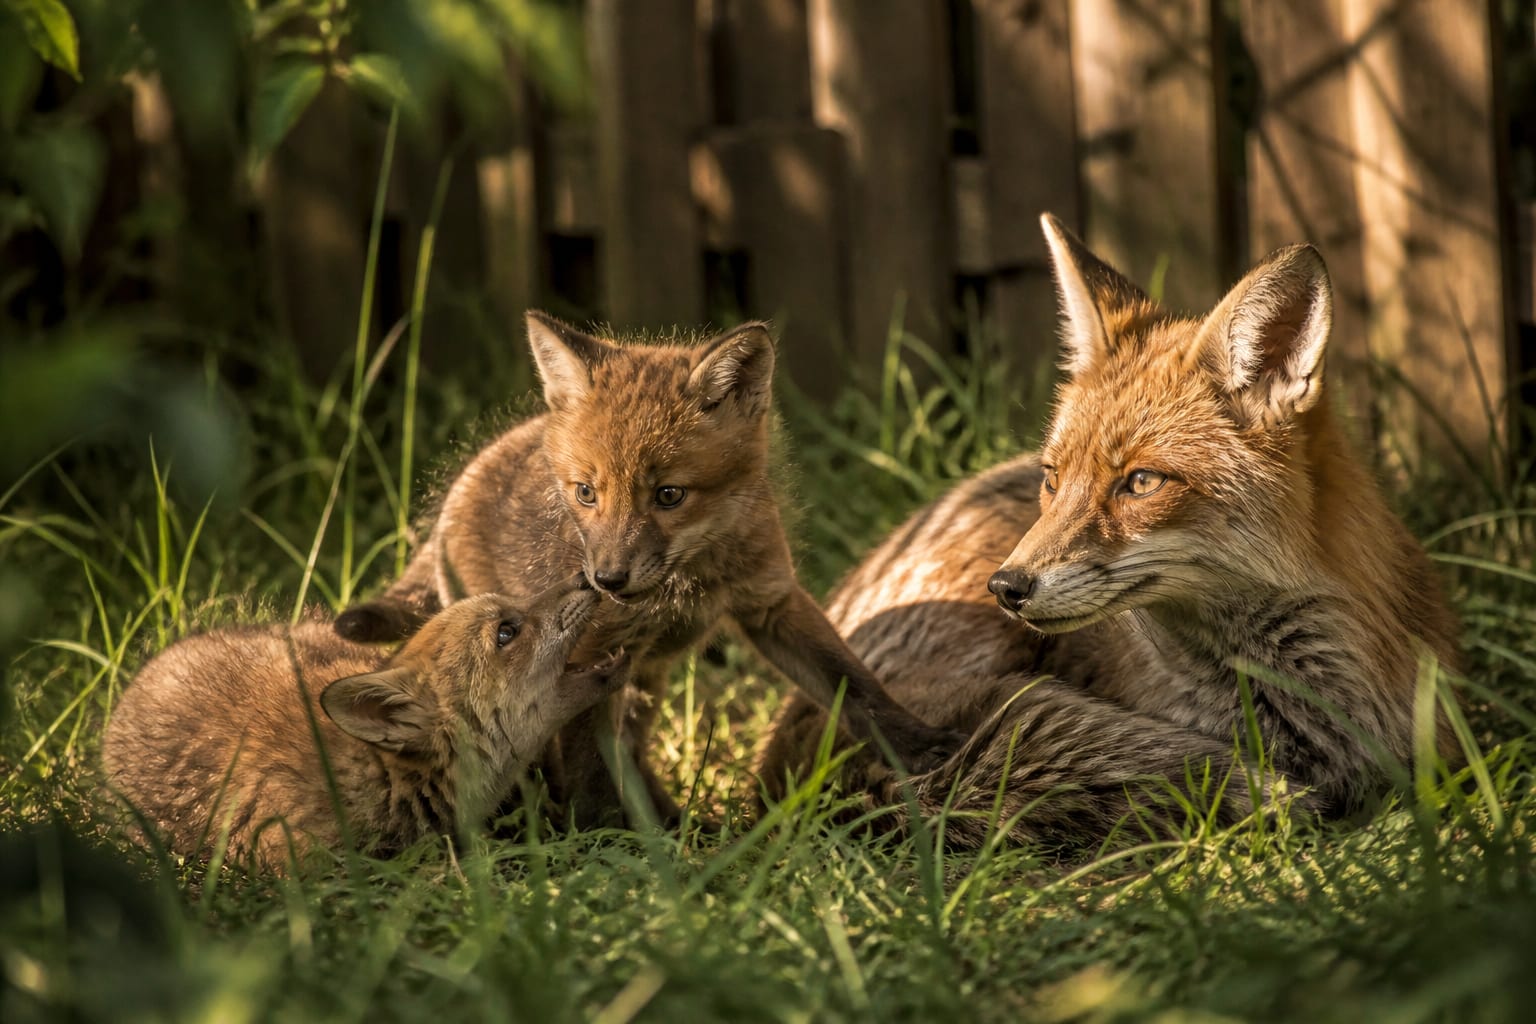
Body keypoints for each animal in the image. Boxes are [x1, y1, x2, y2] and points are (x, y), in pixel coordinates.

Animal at [335, 313, 958, 827]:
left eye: (669, 495)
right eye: (586, 493)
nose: (606, 581)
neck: (689, 584)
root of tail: (467, 475)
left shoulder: (771, 602)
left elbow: (855, 684)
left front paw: (919, 745)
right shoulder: (587, 653)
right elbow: (587, 767)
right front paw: (604, 842)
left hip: (644, 678)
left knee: (632, 750)